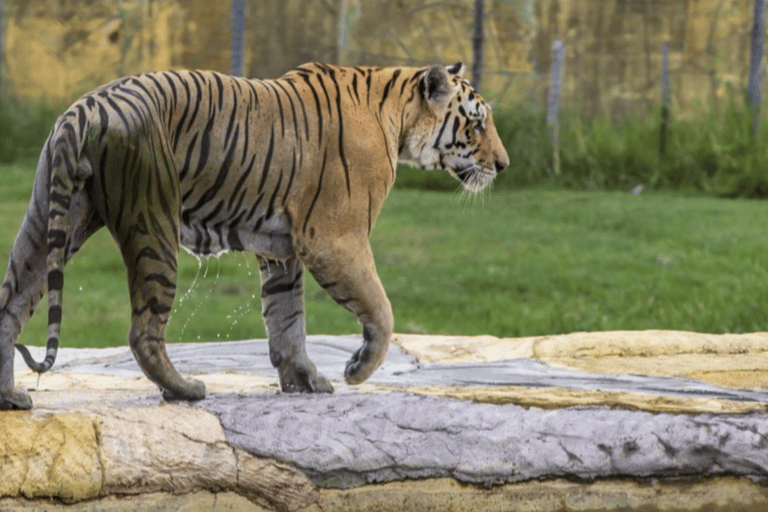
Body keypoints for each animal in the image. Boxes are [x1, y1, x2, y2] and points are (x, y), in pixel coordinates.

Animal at [0, 62, 510, 410]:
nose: (504, 165)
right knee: (144, 330)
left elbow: (287, 320)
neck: (398, 114)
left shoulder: (281, 250)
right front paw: (355, 371)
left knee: (10, 305)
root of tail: (85, 109)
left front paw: (305, 381)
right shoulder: (336, 240)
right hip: (153, 219)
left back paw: (10, 397)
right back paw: (185, 390)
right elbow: (381, 311)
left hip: (51, 218)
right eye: (477, 122)